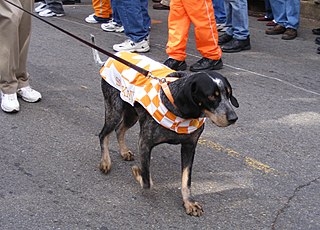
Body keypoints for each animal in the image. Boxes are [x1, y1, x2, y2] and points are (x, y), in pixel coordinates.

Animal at [95, 49, 238, 216]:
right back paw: (105, 161)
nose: (233, 118)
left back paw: (123, 151)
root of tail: (112, 57)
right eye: (211, 96)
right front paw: (138, 172)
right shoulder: (145, 143)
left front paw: (189, 202)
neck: (181, 112)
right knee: (104, 134)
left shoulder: (189, 147)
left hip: (132, 113)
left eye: (228, 94)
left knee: (120, 129)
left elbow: (186, 180)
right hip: (115, 110)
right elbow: (147, 180)